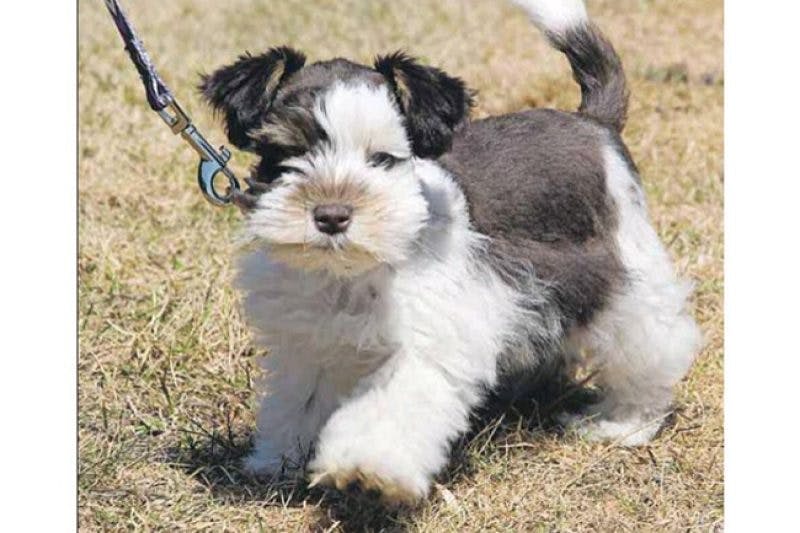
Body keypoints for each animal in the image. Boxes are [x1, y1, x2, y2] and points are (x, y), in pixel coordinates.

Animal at [198, 0, 700, 500]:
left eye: (382, 159)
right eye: (288, 154)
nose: (332, 215)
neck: (353, 270)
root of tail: (593, 123)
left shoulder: (434, 336)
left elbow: (394, 401)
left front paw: (368, 467)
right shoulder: (308, 342)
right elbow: (298, 400)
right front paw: (279, 459)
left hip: (628, 280)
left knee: (652, 345)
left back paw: (625, 422)